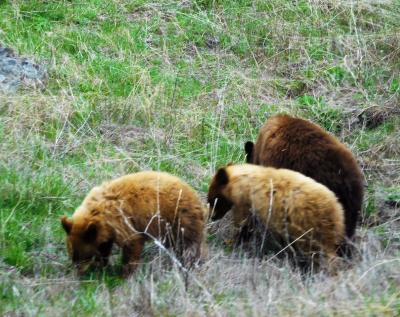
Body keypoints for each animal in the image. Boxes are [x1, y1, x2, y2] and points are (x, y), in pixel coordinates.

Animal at [61, 169, 209, 276]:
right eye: (72, 254)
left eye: (82, 255)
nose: (78, 271)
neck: (96, 211)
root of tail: (199, 201)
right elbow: (104, 245)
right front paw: (101, 265)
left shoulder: (120, 219)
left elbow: (132, 242)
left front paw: (125, 273)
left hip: (181, 218)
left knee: (190, 244)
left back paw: (191, 263)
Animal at [209, 163, 344, 264]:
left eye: (212, 199)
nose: (212, 217)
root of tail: (333, 210)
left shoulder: (246, 203)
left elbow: (244, 226)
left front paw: (230, 243)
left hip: (307, 225)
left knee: (315, 251)